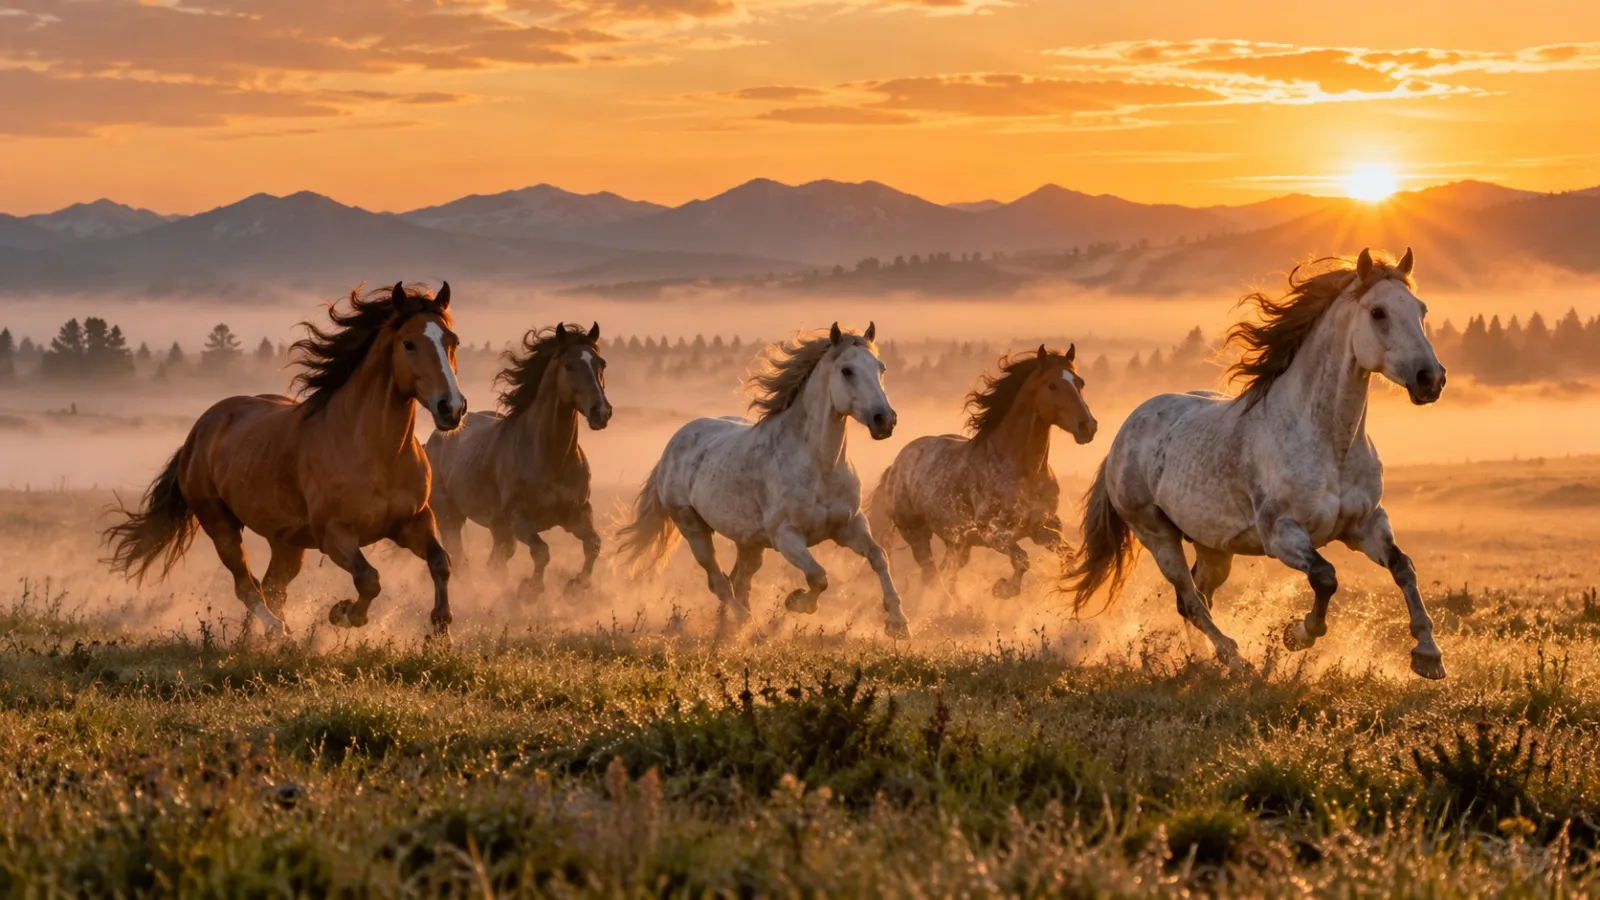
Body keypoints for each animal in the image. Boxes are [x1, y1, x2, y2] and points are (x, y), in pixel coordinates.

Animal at [103, 282, 467, 639]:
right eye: (409, 343)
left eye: (453, 341)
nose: (451, 407)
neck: (376, 453)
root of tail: (201, 429)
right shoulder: (335, 535)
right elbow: (369, 579)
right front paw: (343, 613)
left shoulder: (414, 521)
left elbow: (441, 562)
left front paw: (440, 628)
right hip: (220, 525)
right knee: (248, 587)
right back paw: (279, 633)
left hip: (287, 543)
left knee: (272, 587)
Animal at [425, 322, 612, 601]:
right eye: (569, 366)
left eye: (601, 363)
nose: (601, 412)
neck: (551, 458)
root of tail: (431, 442)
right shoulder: (519, 519)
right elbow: (542, 551)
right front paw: (530, 591)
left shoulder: (577, 513)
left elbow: (593, 544)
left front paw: (575, 587)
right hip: (451, 518)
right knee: (461, 563)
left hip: (498, 529)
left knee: (495, 565)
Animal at [618, 323, 909, 637]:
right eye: (847, 370)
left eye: (880, 367)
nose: (885, 420)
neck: (821, 467)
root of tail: (673, 444)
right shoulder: (786, 536)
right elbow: (818, 576)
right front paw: (796, 602)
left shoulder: (850, 525)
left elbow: (879, 557)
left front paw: (898, 623)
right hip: (693, 528)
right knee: (720, 582)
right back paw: (750, 627)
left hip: (750, 543)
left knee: (738, 580)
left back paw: (731, 629)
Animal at [869, 345, 1097, 602]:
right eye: (1052, 385)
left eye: (1080, 382)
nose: (1087, 427)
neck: (1025, 471)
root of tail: (897, 464)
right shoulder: (994, 534)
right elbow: (1022, 559)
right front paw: (1003, 589)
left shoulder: (1041, 528)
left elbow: (1066, 552)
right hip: (916, 534)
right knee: (932, 576)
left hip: (957, 543)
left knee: (947, 574)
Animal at [1065, 248, 1450, 679]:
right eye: (1379, 312)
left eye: (1421, 309)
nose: (1430, 379)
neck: (1328, 443)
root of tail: (1124, 433)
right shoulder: (1281, 534)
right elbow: (1325, 578)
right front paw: (1297, 634)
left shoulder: (1365, 524)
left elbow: (1403, 567)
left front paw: (1429, 655)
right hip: (1157, 534)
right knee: (1190, 598)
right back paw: (1235, 659)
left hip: (1214, 547)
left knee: (1196, 596)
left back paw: (1203, 661)